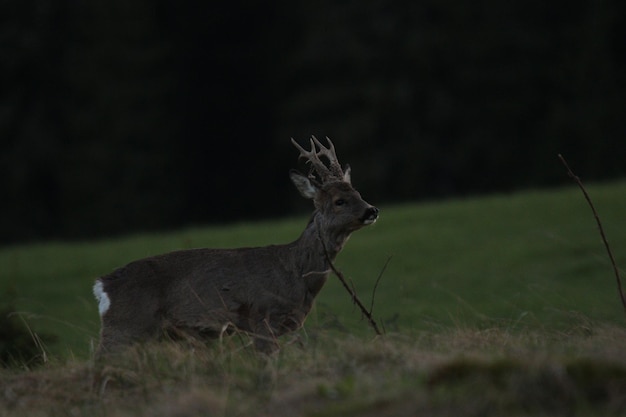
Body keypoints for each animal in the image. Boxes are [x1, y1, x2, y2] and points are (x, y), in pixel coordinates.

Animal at [91, 135, 376, 356]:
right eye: (339, 201)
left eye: (359, 193)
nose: (372, 210)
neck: (296, 273)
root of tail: (103, 286)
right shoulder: (262, 318)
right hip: (126, 326)